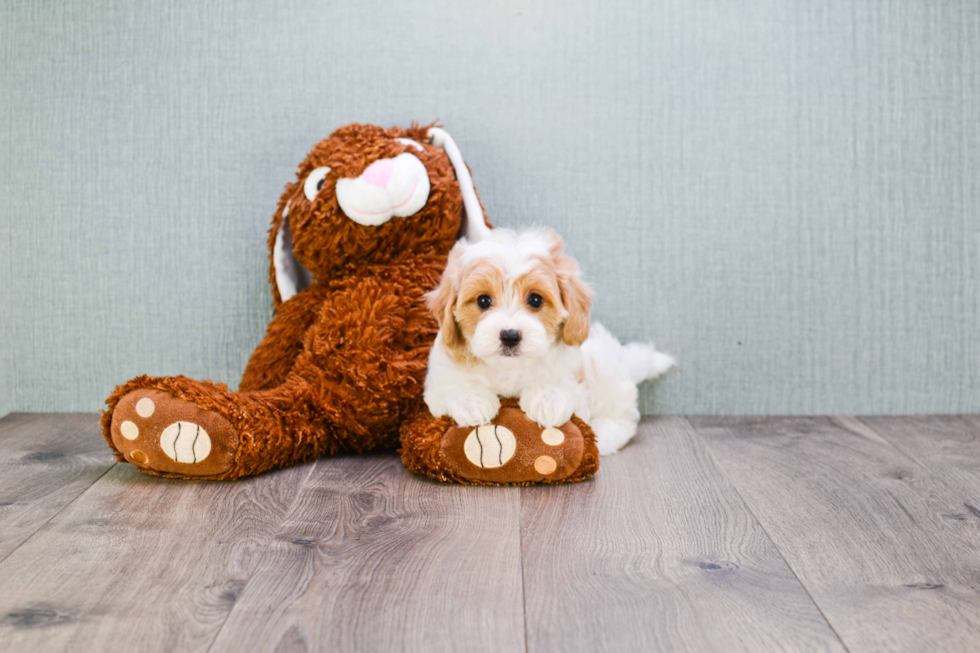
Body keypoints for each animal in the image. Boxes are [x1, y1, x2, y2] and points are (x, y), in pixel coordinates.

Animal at [424, 228, 676, 454]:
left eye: (535, 300)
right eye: (483, 301)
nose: (510, 335)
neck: (508, 368)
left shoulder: (576, 380)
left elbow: (562, 386)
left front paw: (547, 399)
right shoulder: (437, 380)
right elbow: (450, 387)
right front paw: (471, 400)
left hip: (607, 378)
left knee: (623, 419)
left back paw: (602, 435)